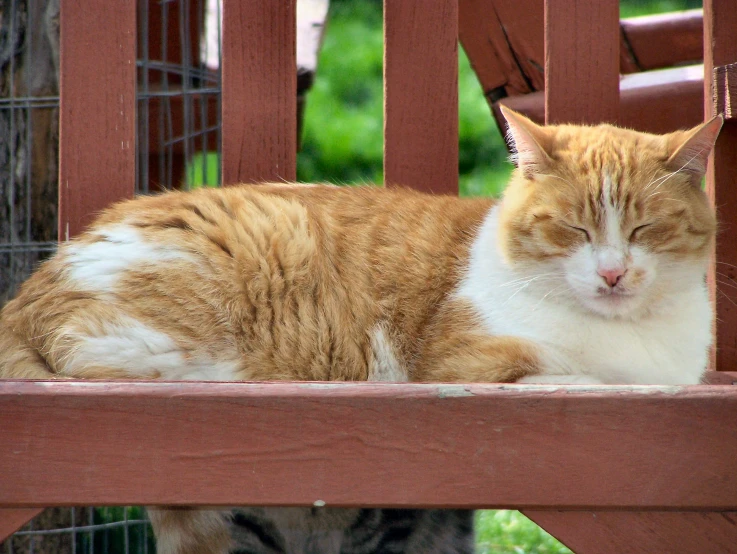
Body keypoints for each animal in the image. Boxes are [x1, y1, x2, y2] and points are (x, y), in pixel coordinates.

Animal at [0, 108, 724, 552]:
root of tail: (29, 290)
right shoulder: (470, 368)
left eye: (644, 230)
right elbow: (573, 376)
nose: (612, 274)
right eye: (573, 228)